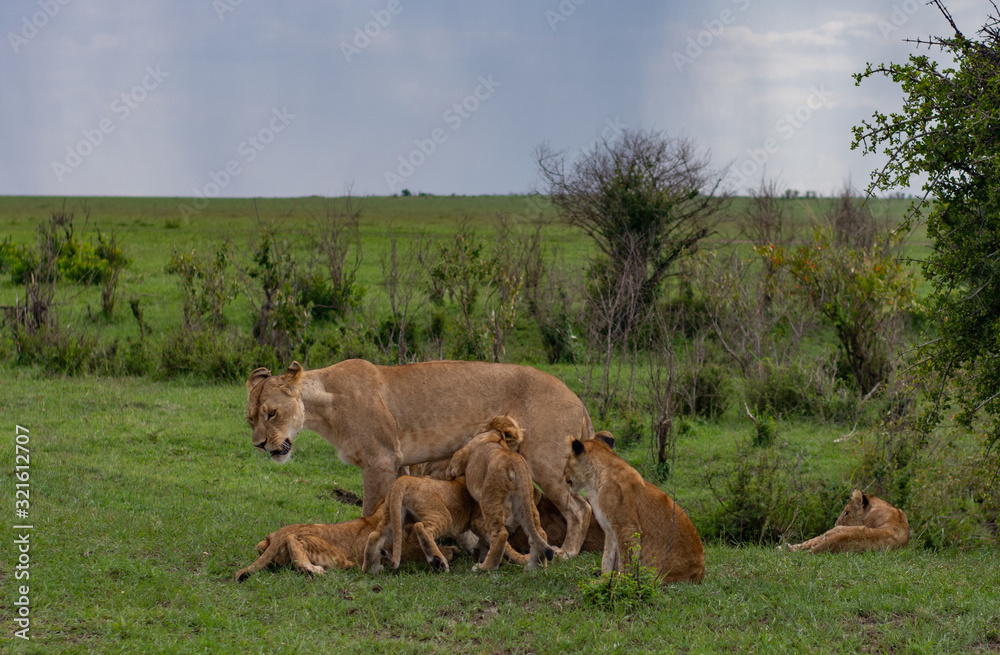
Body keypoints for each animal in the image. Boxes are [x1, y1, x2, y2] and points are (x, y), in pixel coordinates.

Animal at [445, 416, 555, 571]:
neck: (497, 435)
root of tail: (515, 461)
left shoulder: (463, 453)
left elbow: (452, 470)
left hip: (490, 498)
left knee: (500, 534)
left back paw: (485, 567)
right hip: (524, 500)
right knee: (539, 532)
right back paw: (535, 567)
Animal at [564, 432, 705, 584]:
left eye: (567, 460)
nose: (563, 474)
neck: (595, 480)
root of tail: (700, 575)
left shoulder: (627, 528)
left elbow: (626, 559)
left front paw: (620, 583)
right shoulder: (610, 530)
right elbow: (607, 558)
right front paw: (603, 581)